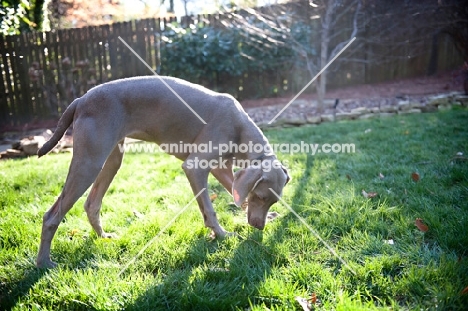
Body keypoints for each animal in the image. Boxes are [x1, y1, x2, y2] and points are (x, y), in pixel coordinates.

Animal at [37, 75, 288, 268]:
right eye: (260, 197)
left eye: (271, 201)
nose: (258, 226)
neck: (239, 128)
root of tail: (81, 99)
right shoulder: (195, 166)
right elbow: (209, 209)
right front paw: (222, 235)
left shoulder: (220, 168)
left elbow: (234, 190)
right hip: (89, 162)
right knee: (52, 215)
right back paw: (43, 263)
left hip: (111, 159)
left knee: (92, 204)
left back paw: (103, 237)